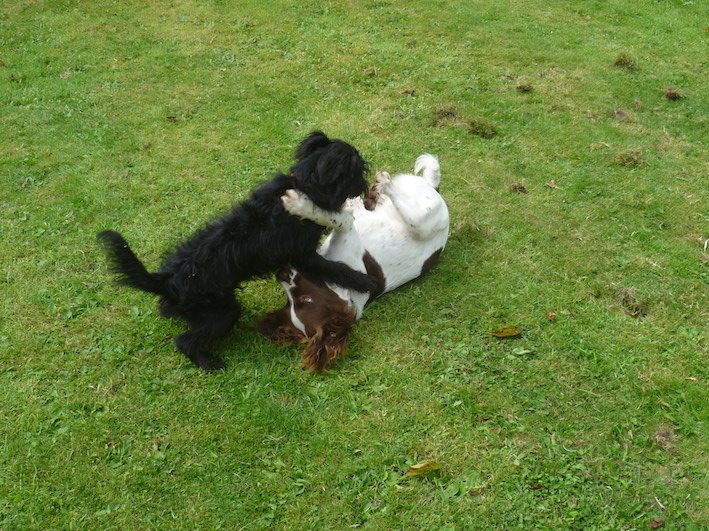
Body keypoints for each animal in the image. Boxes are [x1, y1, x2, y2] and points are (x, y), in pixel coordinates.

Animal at [97, 131, 378, 371]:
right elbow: (337, 269)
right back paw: (209, 363)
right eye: (358, 170)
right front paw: (364, 281)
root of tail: (165, 281)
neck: (302, 187)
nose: (365, 186)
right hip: (222, 312)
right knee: (185, 341)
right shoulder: (304, 256)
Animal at [258, 153, 449, 371]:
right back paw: (372, 194)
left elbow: (338, 219)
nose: (281, 273)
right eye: (288, 303)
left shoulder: (347, 231)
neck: (346, 292)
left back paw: (378, 187)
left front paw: (301, 205)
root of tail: (434, 188)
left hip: (423, 220)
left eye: (306, 300)